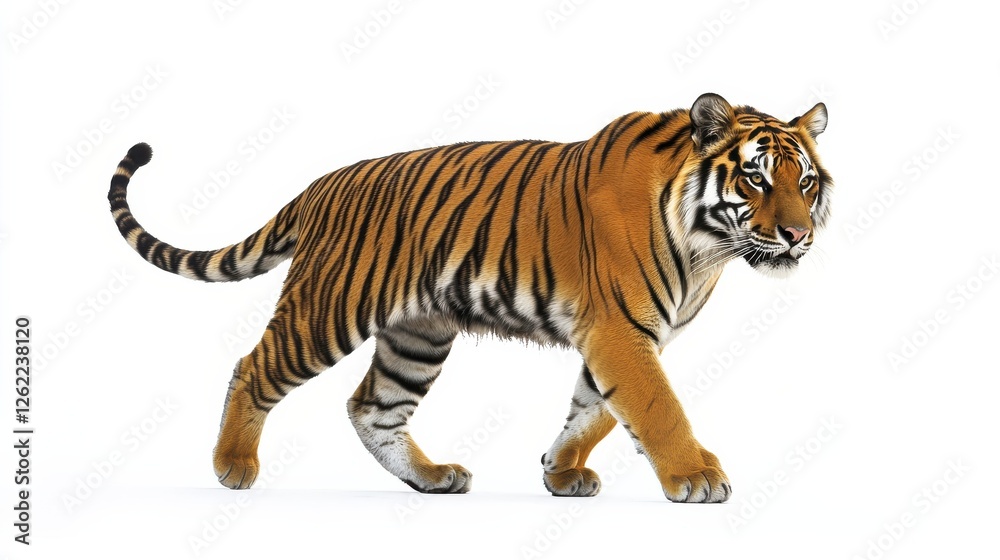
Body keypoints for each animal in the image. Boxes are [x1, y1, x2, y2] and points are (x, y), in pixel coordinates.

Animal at [108, 93, 830, 503]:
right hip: (327, 310)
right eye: (757, 178)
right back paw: (233, 466)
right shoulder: (621, 331)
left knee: (372, 408)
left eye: (806, 181)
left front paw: (560, 472)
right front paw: (696, 477)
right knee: (252, 368)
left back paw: (431, 478)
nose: (798, 235)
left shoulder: (621, 336)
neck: (708, 247)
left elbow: (594, 409)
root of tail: (322, 185)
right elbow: (658, 407)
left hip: (418, 334)